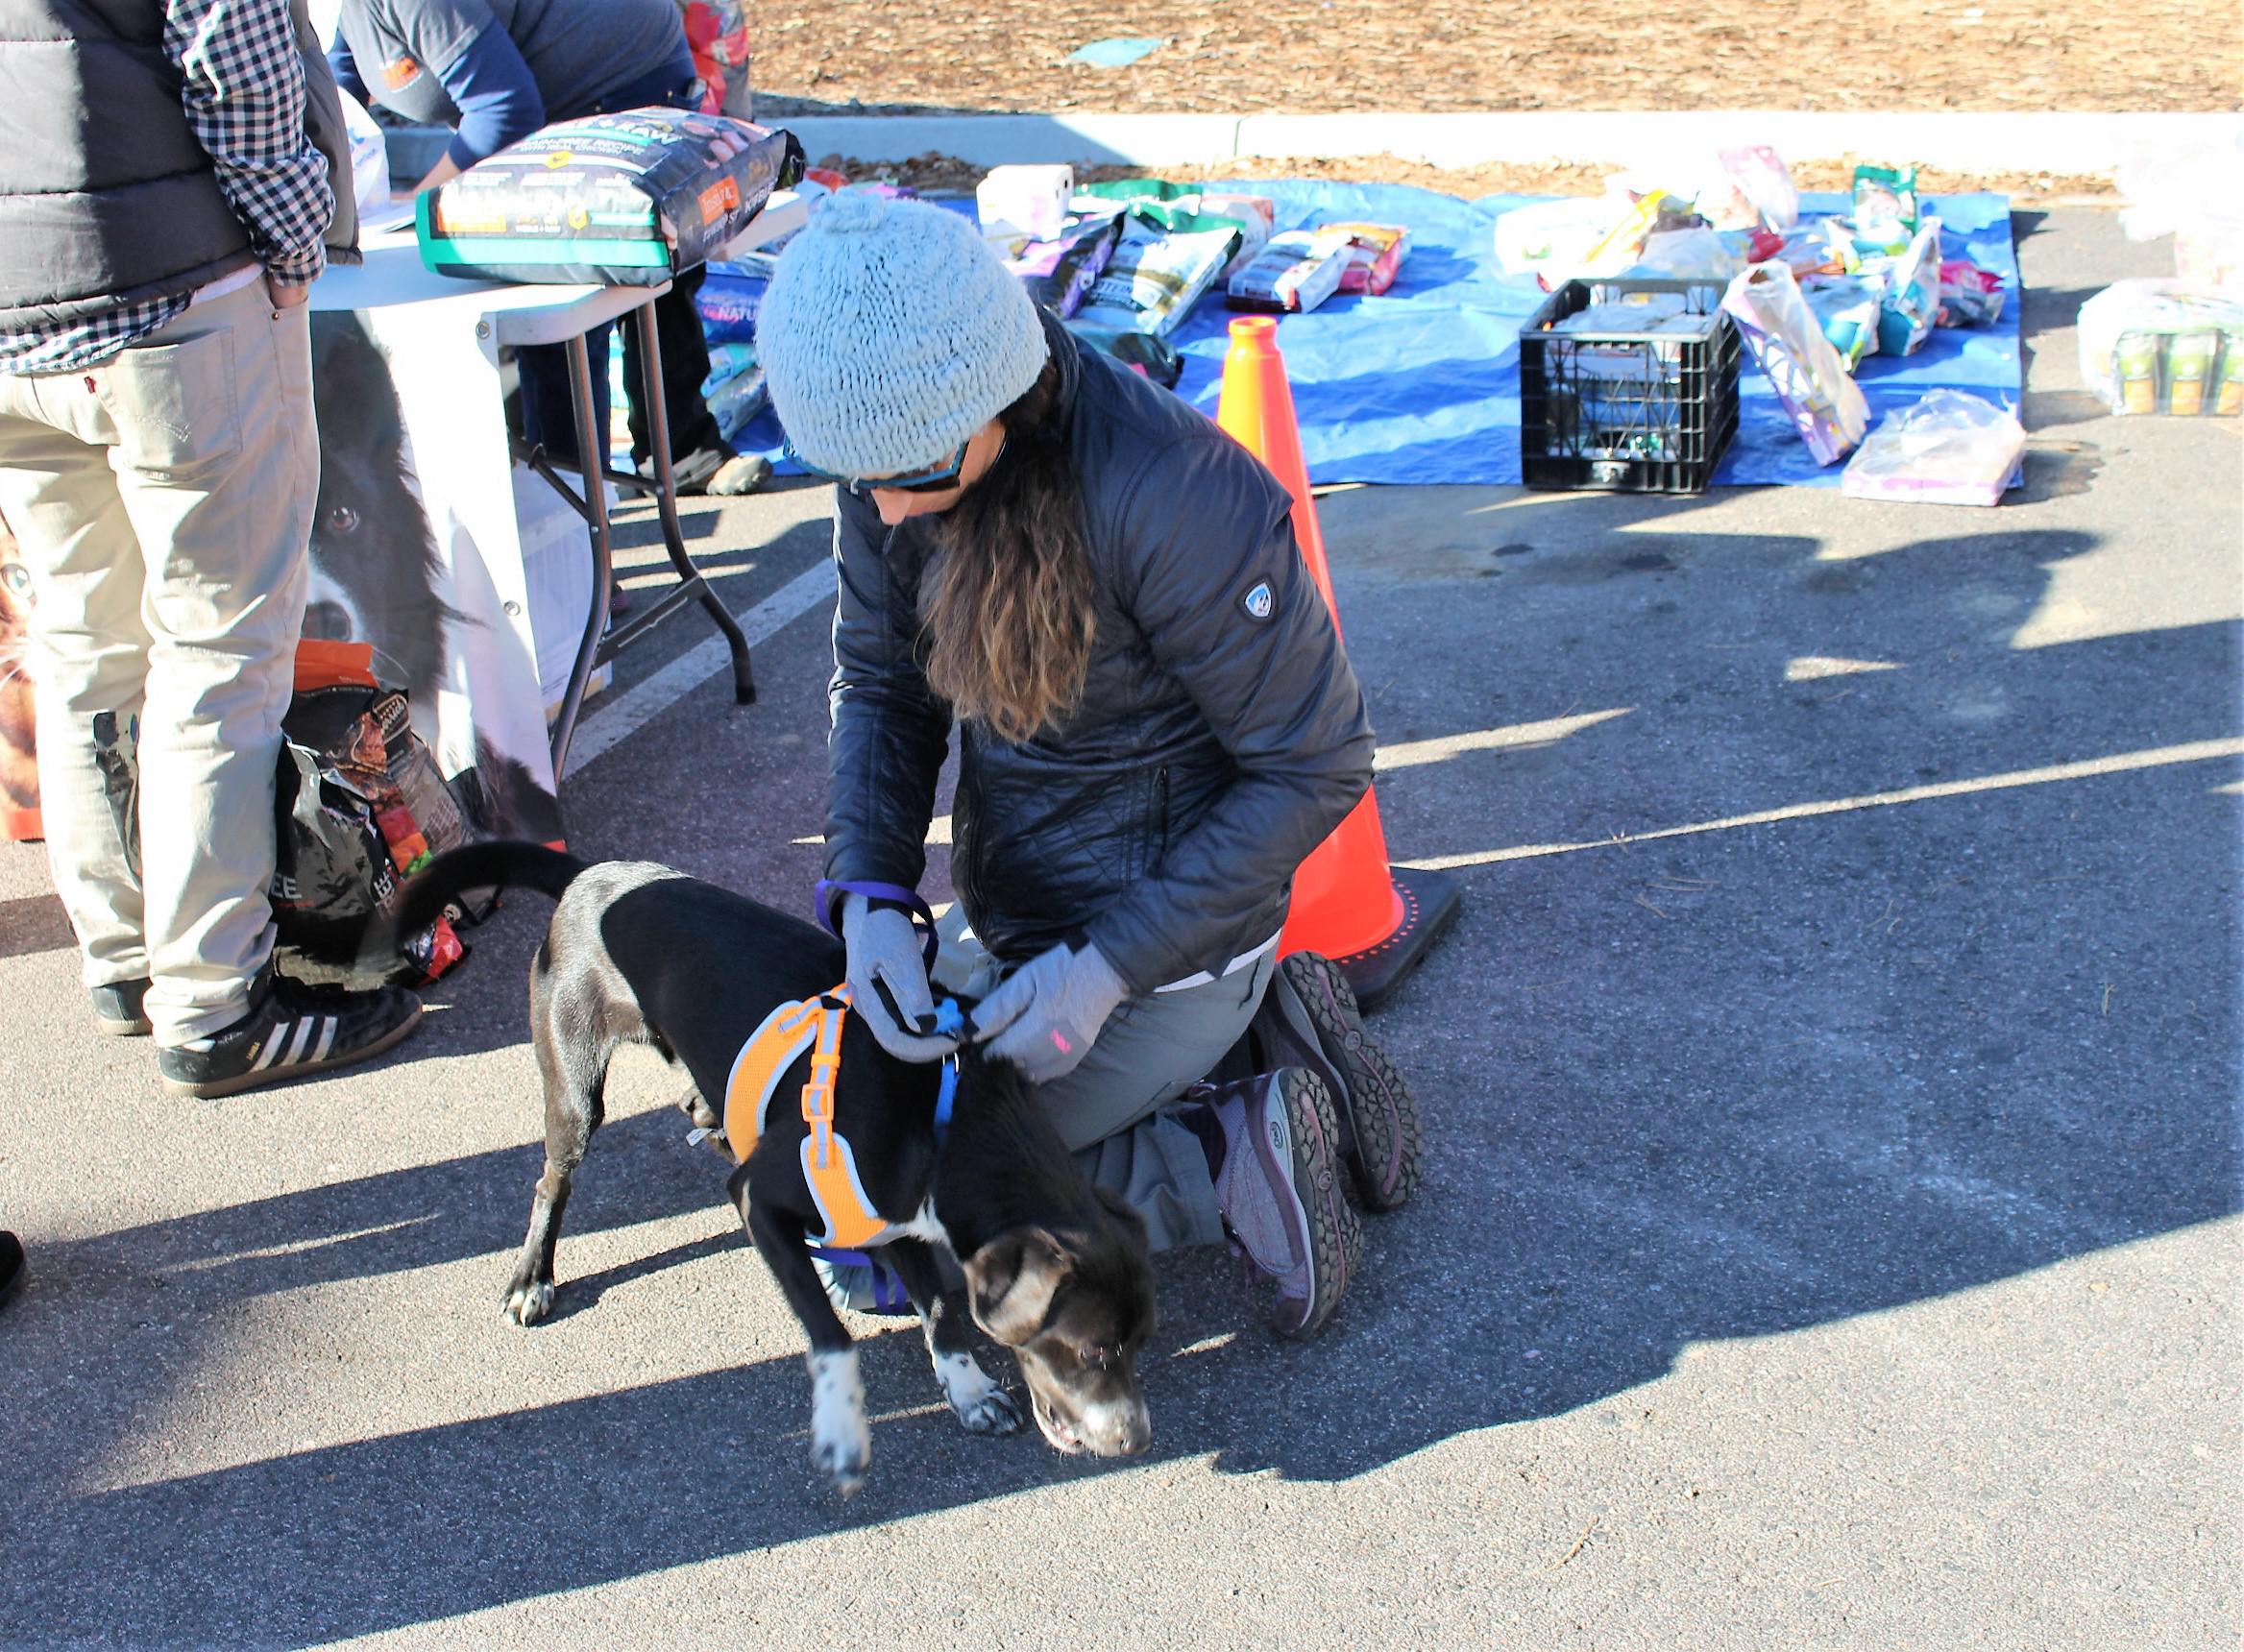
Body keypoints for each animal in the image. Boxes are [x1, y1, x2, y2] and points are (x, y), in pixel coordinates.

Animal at [385, 843, 1158, 1490]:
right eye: (1092, 1352)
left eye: (1139, 1343)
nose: (1138, 1441)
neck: (944, 1115)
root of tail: (589, 876)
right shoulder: (763, 1199)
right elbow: (832, 1335)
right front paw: (843, 1425)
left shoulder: (896, 1218)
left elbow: (942, 1309)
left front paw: (966, 1389)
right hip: (574, 1090)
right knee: (553, 1178)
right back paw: (532, 1276)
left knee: (694, 1107)